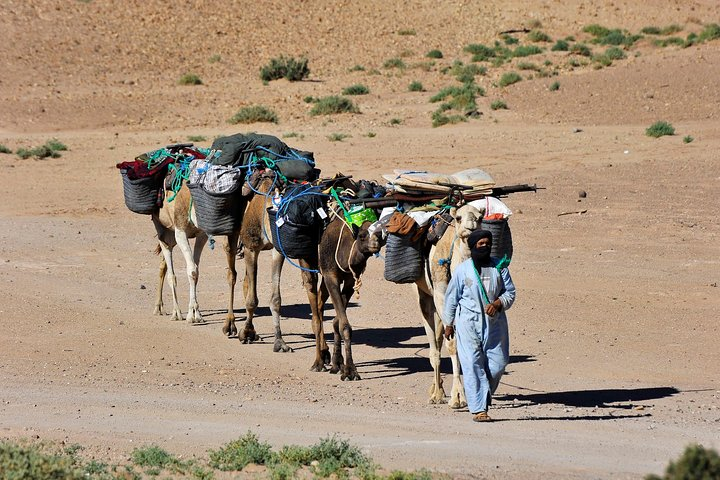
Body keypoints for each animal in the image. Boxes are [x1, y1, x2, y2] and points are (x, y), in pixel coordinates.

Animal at [413, 203, 483, 407]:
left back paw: (437, 389)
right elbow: (452, 343)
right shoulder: (441, 293)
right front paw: (458, 397)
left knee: (437, 337)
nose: (471, 227)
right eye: (459, 218)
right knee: (433, 341)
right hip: (424, 294)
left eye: (480, 217)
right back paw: (437, 393)